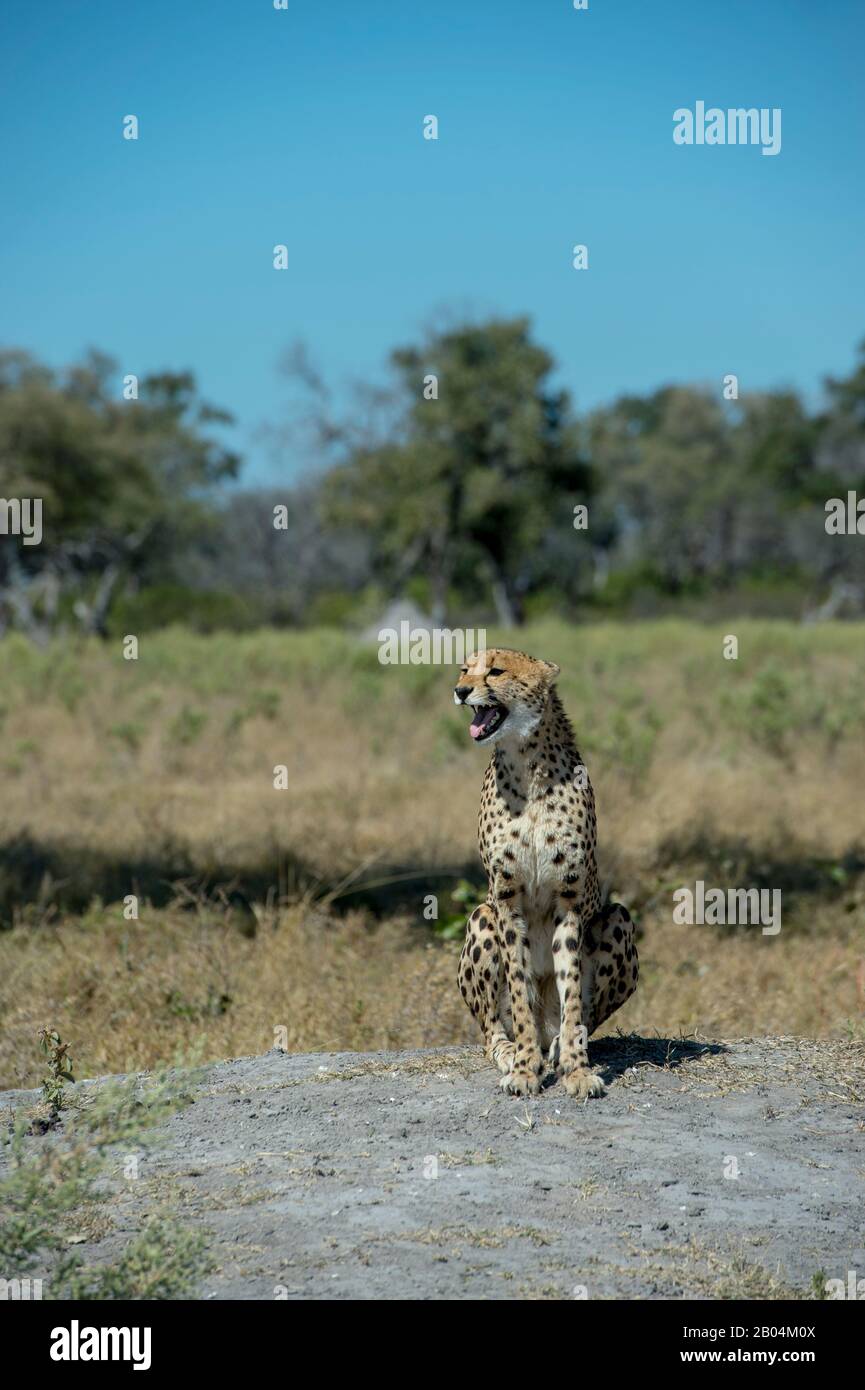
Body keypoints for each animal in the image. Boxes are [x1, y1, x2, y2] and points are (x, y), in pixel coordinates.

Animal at [454, 647, 638, 1100]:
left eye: (496, 671)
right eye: (465, 669)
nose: (460, 690)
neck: (527, 763)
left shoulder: (568, 900)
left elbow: (571, 989)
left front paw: (576, 1069)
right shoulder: (506, 898)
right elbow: (519, 991)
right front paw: (524, 1070)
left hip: (618, 918)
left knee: (582, 1012)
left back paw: (557, 1045)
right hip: (481, 917)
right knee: (491, 1027)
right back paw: (511, 1051)